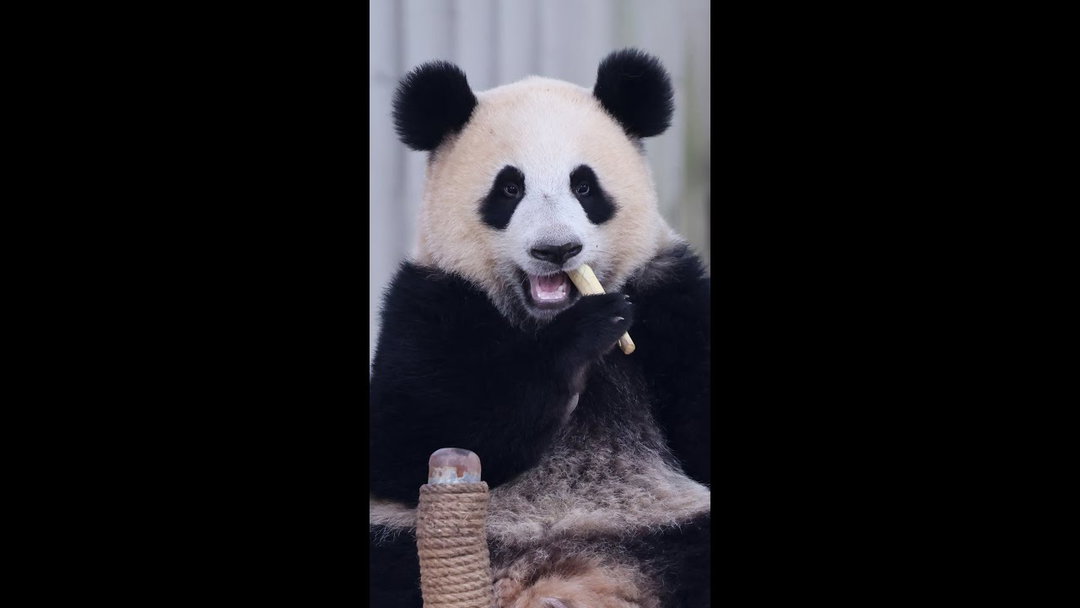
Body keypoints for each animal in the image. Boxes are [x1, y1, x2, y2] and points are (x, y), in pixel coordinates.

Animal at [370, 49, 711, 607]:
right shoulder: (430, 298)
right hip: (401, 538)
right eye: (509, 188)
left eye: (585, 186)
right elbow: (407, 429)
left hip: (668, 524)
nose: (557, 249)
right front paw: (585, 334)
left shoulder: (669, 294)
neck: (543, 318)